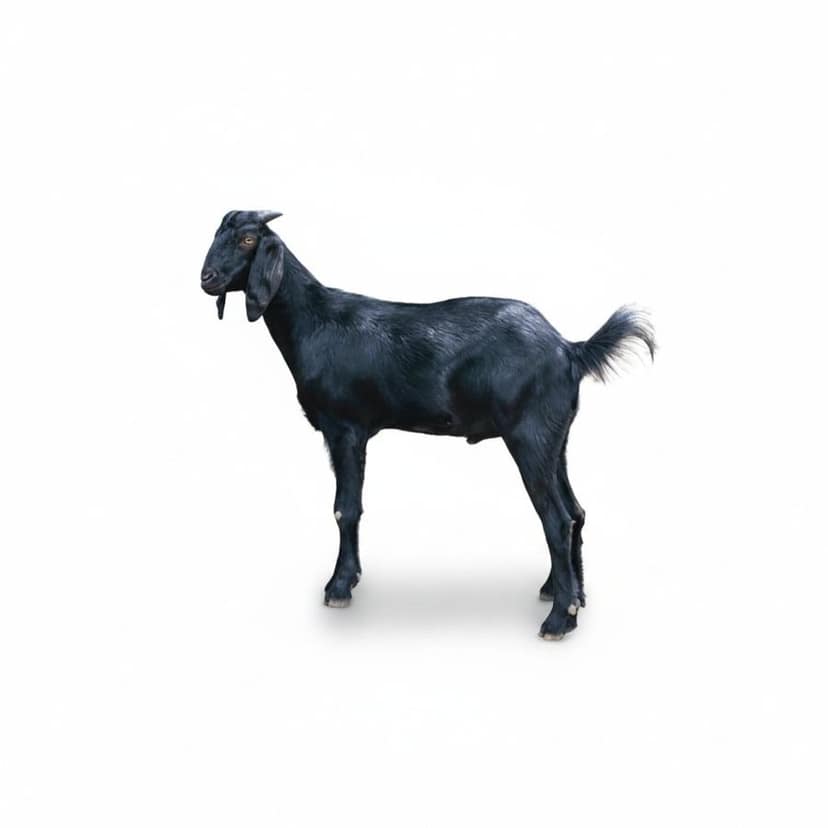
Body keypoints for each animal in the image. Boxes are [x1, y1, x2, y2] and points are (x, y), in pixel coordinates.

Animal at [200, 210, 655, 639]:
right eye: (217, 234)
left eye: (248, 239)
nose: (207, 278)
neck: (316, 321)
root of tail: (569, 349)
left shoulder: (345, 428)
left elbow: (345, 508)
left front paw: (339, 587)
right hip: (556, 439)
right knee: (576, 511)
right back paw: (569, 595)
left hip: (530, 435)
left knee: (557, 519)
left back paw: (559, 620)